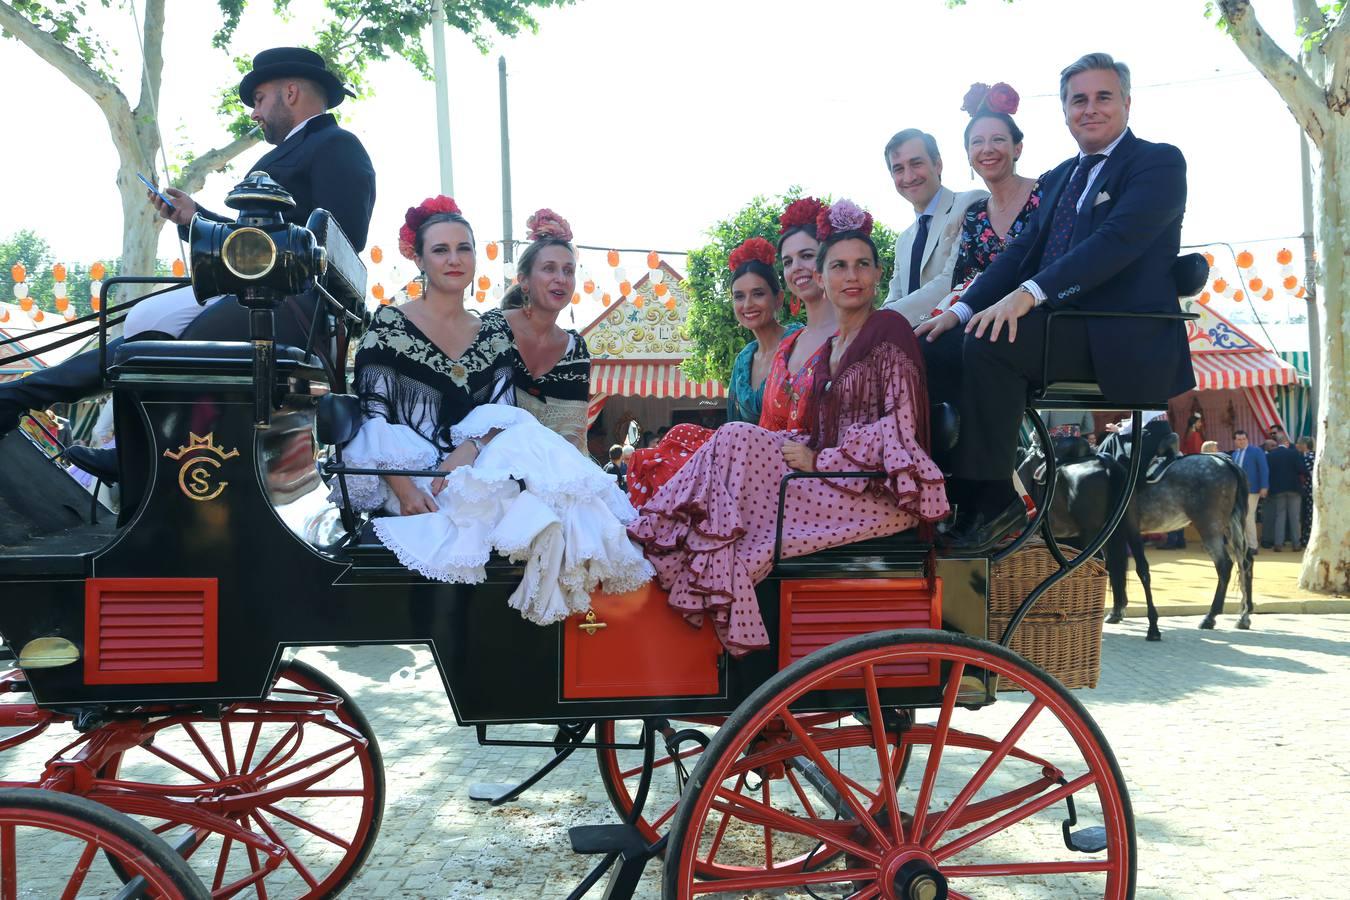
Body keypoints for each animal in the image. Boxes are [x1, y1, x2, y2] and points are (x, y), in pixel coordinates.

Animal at [1015, 437, 1258, 639]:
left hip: (1209, 526)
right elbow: (1116, 567)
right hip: (1231, 524)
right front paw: (1117, 610)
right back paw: (1243, 615)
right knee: (1245, 561)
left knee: (1225, 565)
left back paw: (1210, 616)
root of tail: (1224, 461)